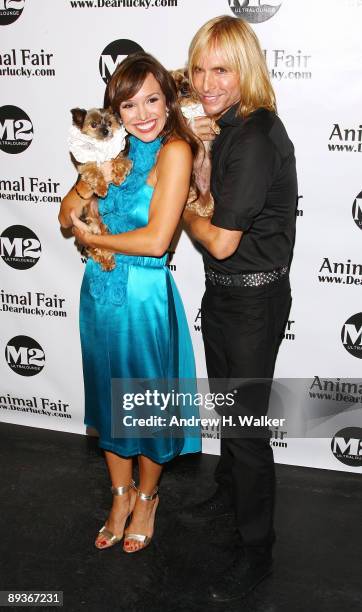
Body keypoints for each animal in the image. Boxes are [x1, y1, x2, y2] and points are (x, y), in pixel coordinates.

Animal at [68, 107, 132, 270]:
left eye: (109, 123)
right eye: (94, 124)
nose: (106, 131)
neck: (101, 147)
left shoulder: (119, 156)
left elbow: (122, 161)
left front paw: (118, 176)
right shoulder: (86, 165)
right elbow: (94, 172)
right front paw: (102, 188)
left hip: (101, 227)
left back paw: (108, 260)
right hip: (92, 227)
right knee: (95, 249)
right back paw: (106, 261)